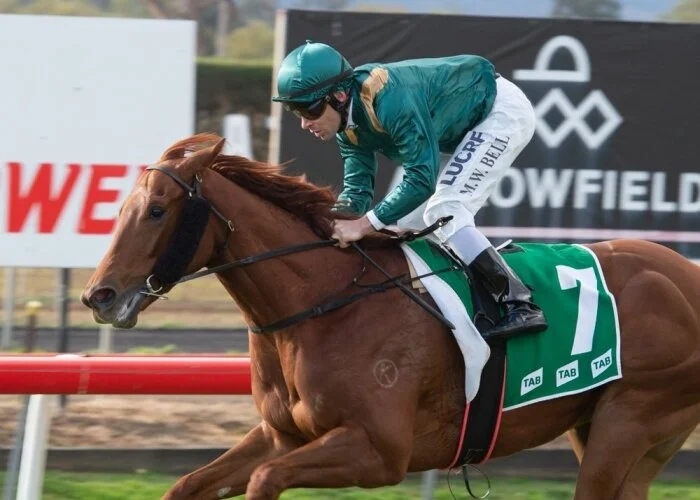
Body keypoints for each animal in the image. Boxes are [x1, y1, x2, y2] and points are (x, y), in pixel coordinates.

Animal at [81, 133, 700, 500]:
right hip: (614, 433)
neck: (324, 305)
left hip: (629, 420)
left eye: (157, 210)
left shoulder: (379, 452)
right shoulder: (282, 435)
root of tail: (684, 276)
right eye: (121, 206)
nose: (99, 296)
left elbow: (264, 481)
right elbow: (188, 484)